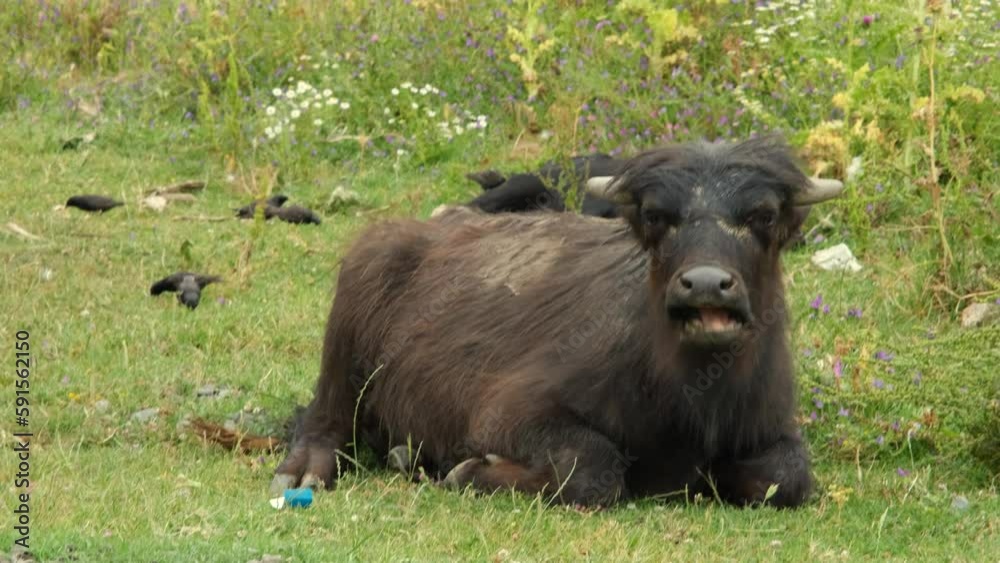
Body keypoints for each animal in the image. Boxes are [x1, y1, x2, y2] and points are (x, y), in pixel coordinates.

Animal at [272, 137, 843, 508]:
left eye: (763, 215)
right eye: (656, 216)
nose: (704, 284)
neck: (690, 395)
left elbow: (787, 476)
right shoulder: (504, 413)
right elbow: (595, 467)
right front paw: (469, 470)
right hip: (352, 314)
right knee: (323, 418)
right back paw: (306, 471)